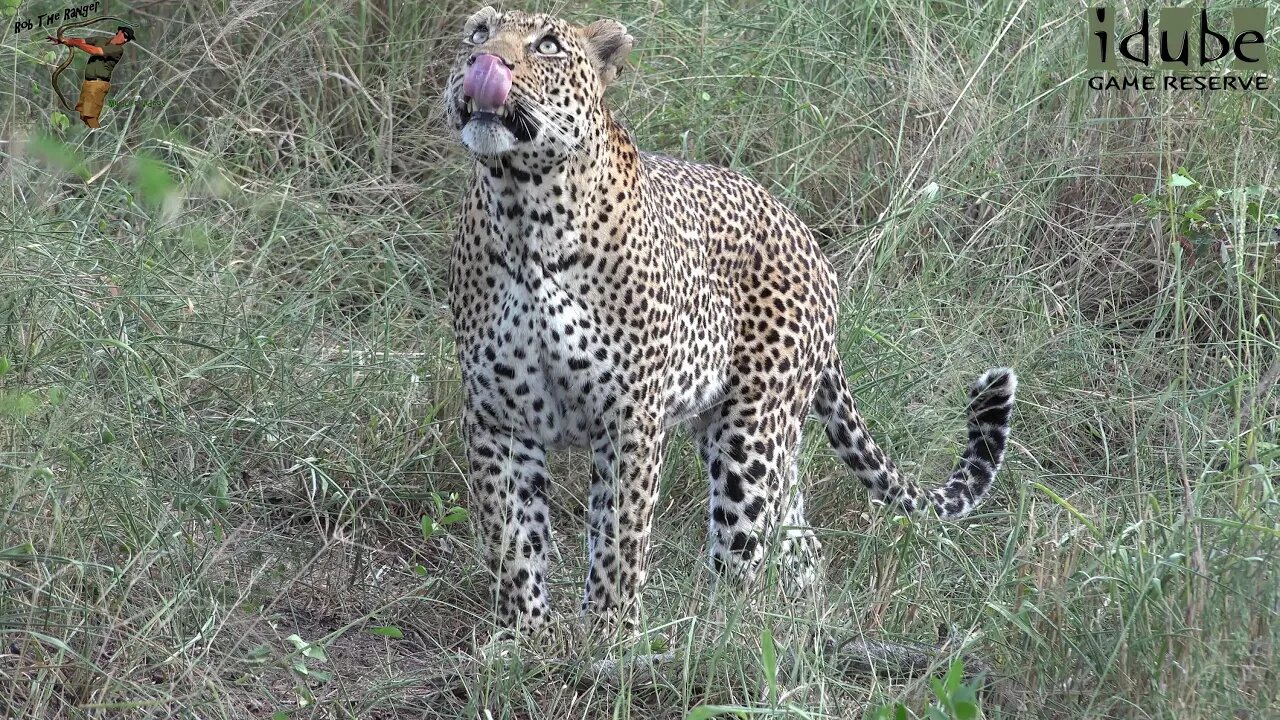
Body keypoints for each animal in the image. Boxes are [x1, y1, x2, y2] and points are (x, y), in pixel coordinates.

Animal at [442, 8, 1018, 630]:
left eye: (546, 46)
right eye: (478, 32)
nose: (484, 62)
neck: (523, 212)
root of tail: (809, 241)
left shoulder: (629, 417)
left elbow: (619, 537)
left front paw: (608, 634)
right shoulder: (498, 417)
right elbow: (513, 539)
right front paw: (525, 636)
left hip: (750, 434)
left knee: (744, 551)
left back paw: (716, 630)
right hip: (751, 433)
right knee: (798, 536)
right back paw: (793, 622)